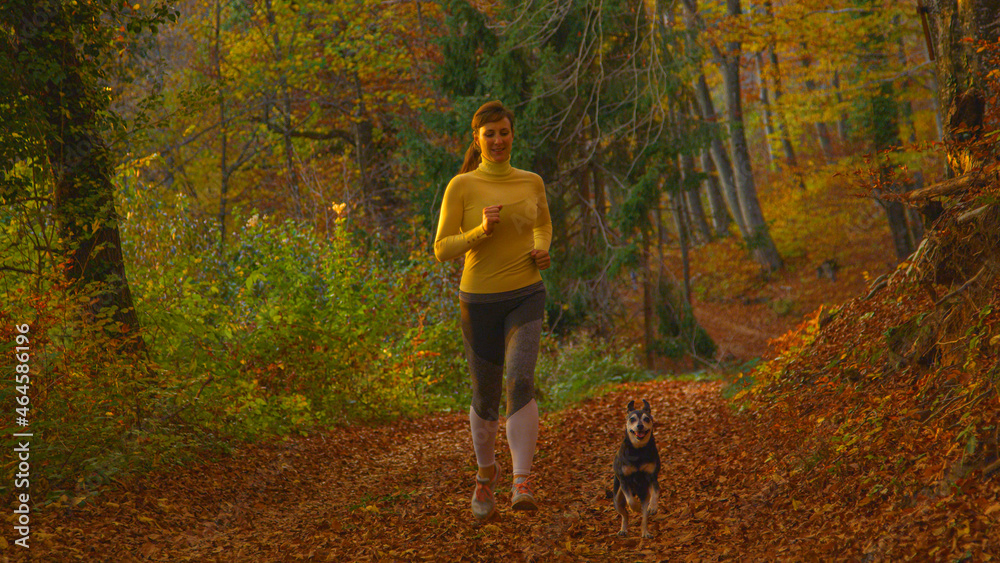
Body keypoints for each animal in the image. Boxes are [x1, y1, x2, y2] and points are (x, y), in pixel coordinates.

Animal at [612, 398, 660, 540]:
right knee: (624, 514)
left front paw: (653, 506)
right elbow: (630, 500)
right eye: (632, 419)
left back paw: (645, 532)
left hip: (644, 495)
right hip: (617, 499)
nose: (640, 426)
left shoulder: (652, 477)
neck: (638, 450)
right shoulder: (624, 480)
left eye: (646, 419)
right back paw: (623, 529)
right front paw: (635, 507)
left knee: (644, 516)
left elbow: (656, 492)